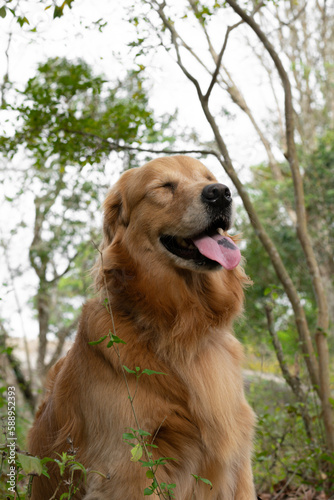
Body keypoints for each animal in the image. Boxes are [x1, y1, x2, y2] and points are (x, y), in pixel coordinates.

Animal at [29, 156, 256, 500]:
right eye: (164, 186)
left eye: (208, 178)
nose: (221, 193)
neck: (181, 326)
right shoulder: (128, 466)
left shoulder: (237, 462)